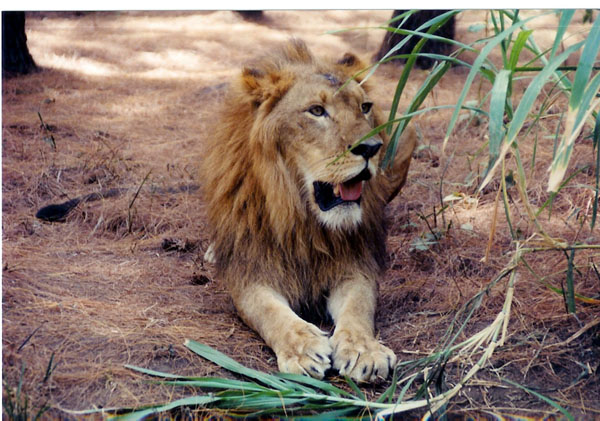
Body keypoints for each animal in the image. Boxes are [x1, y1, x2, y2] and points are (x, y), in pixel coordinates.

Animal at [202, 39, 418, 380]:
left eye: (365, 107)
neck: (304, 219)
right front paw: (302, 348)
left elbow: (359, 306)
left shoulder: (355, 264)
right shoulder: (249, 272)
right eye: (317, 111)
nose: (371, 148)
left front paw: (364, 350)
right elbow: (268, 310)